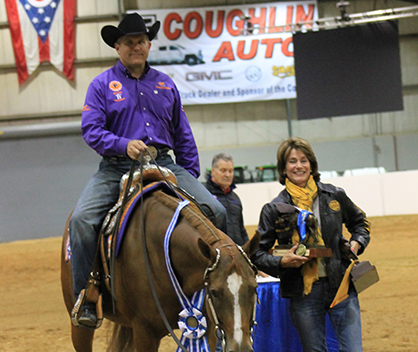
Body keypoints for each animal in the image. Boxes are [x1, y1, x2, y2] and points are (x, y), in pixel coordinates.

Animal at [60, 177, 260, 352]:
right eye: (214, 292)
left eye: (254, 288)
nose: (240, 348)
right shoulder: (144, 332)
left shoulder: (206, 327)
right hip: (79, 323)